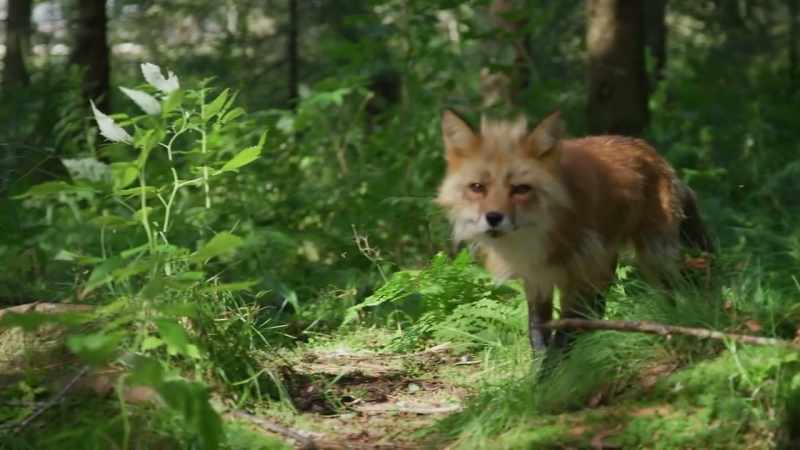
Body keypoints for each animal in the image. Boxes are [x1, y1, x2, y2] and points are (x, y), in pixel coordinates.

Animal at [436, 109, 713, 356]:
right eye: (477, 187)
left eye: (521, 189)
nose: (493, 218)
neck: (540, 237)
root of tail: (648, 149)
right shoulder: (537, 278)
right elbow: (538, 333)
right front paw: (540, 373)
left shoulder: (579, 274)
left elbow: (563, 336)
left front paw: (553, 376)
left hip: (653, 258)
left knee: (673, 292)